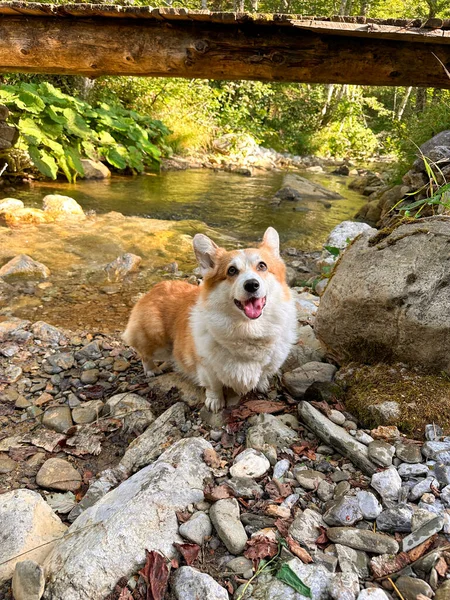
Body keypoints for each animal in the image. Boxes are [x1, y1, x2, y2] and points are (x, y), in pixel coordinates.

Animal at [123, 226, 298, 412]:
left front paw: (262, 384)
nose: (252, 285)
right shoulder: (206, 367)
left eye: (262, 266)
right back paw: (151, 370)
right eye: (231, 270)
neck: (248, 329)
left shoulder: (271, 362)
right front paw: (215, 402)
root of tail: (155, 287)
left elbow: (263, 373)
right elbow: (214, 386)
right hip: (156, 340)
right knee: (144, 354)